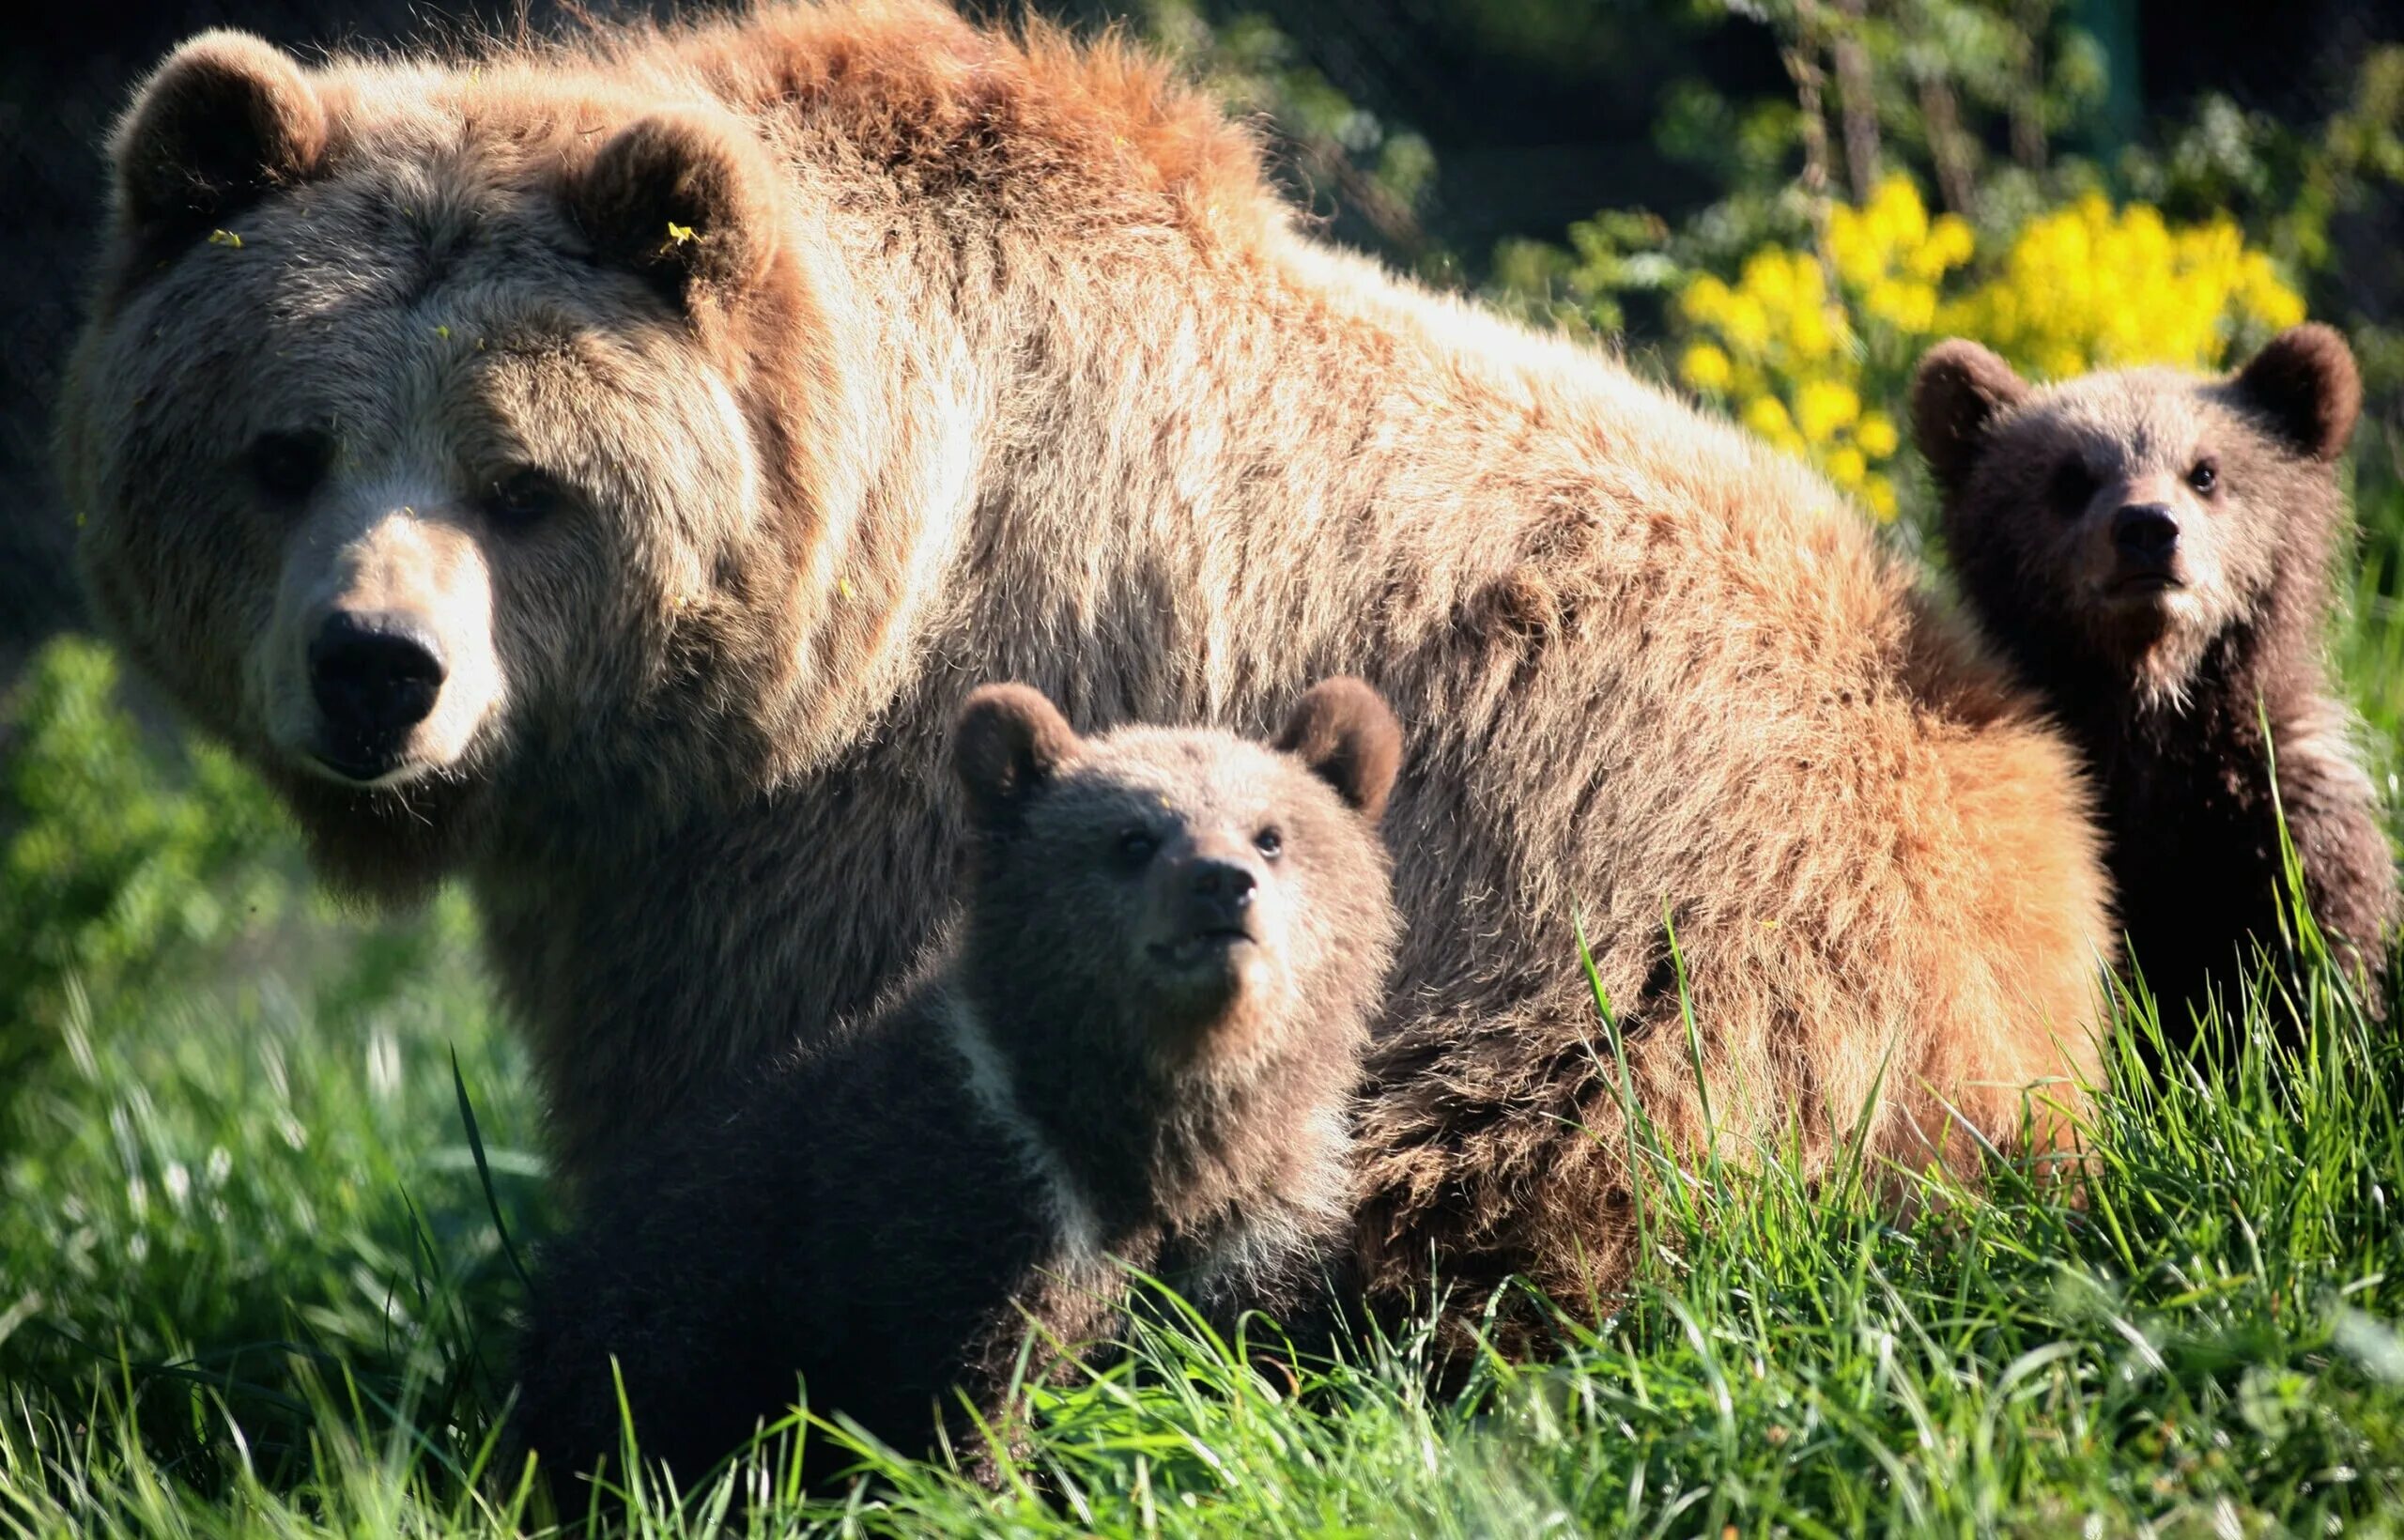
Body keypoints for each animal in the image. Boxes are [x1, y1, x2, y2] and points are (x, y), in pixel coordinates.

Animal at [516, 672, 1404, 1480]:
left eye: (1270, 834)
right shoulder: (974, 1214)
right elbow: (963, 1398)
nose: (1220, 883)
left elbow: (1243, 1365)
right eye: (1132, 838)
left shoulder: (1254, 1230)